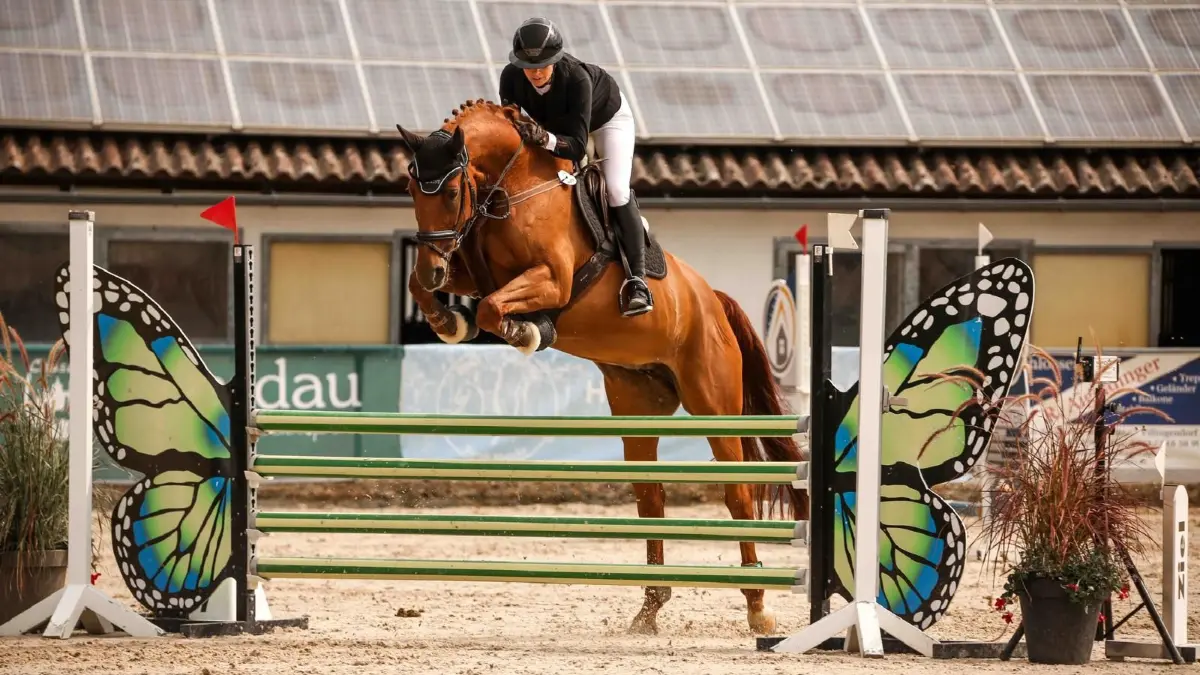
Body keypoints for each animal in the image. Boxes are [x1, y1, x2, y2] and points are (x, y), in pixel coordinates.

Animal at [395, 99, 807, 636]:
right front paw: (448, 320)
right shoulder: (471, 270)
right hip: (637, 404)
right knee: (650, 497)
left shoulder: (551, 279)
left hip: (714, 403)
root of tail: (711, 299)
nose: (433, 269)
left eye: (448, 190)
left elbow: (493, 309)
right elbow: (437, 293)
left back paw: (758, 607)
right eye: (410, 189)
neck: (509, 189)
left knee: (738, 494)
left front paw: (528, 331)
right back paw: (650, 608)